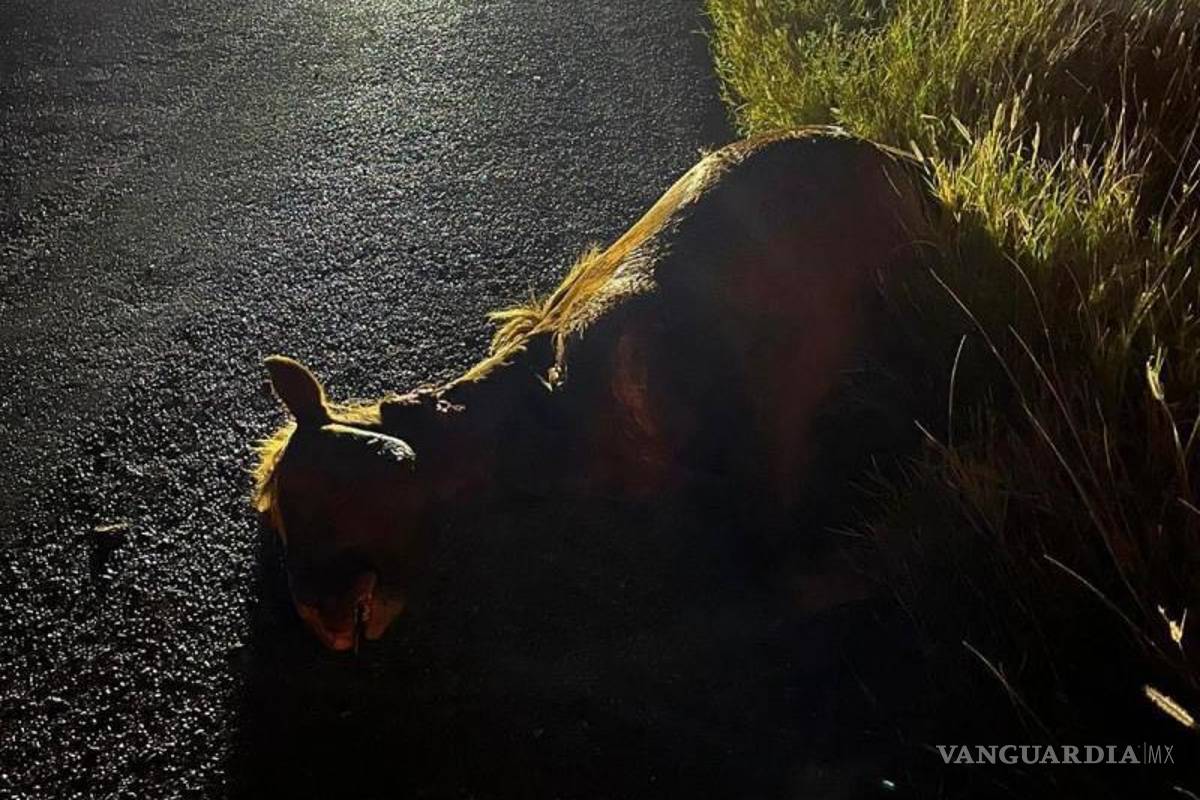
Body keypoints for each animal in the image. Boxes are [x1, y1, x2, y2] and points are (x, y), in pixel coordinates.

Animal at [251, 128, 937, 651]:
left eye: (310, 494)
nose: (321, 626)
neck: (552, 403)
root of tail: (894, 156)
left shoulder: (768, 428)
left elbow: (792, 578)